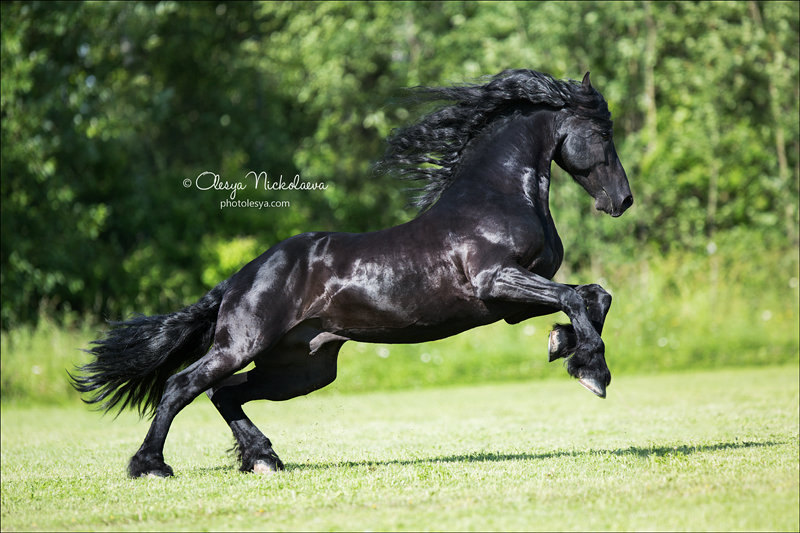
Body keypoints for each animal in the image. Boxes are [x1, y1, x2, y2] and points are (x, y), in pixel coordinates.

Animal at [72, 68, 632, 476]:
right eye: (601, 132)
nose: (621, 201)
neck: (495, 198)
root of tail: (240, 279)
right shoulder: (496, 281)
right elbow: (579, 296)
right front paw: (591, 371)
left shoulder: (513, 303)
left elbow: (593, 296)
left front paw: (565, 347)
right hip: (244, 345)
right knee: (183, 386)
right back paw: (151, 466)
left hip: (303, 368)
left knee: (223, 392)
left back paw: (264, 460)